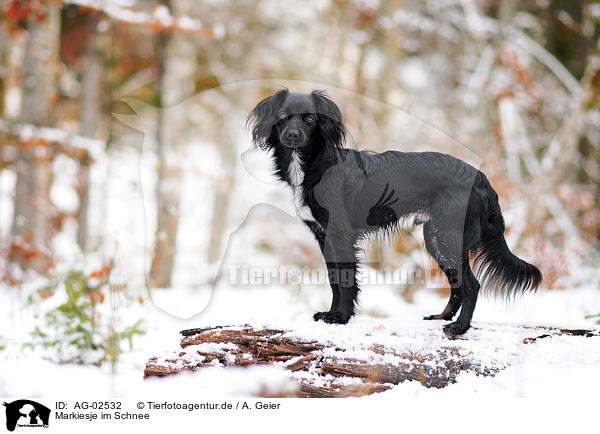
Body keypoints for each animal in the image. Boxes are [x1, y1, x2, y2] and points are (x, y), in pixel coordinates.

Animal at [246, 90, 540, 338]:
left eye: (309, 118)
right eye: (282, 116)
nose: (292, 135)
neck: (314, 165)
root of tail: (483, 180)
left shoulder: (341, 236)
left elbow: (346, 280)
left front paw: (341, 317)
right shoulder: (323, 237)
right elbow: (333, 280)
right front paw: (331, 313)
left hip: (446, 237)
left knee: (471, 285)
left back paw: (459, 327)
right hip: (435, 238)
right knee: (458, 284)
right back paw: (442, 317)